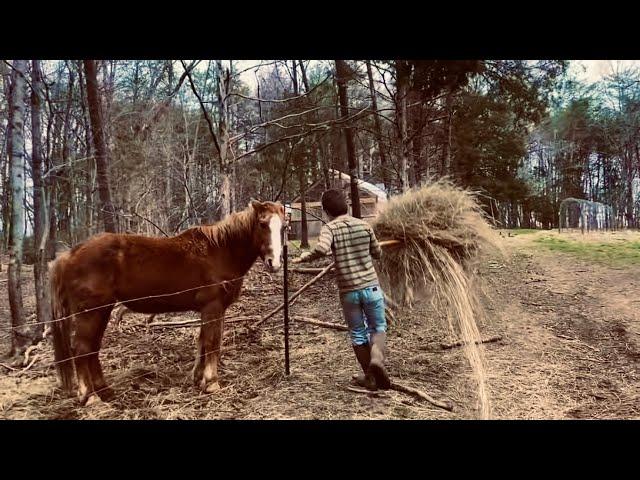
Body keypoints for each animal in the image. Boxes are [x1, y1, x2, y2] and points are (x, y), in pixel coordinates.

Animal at [47, 200, 282, 404]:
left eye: (285, 226)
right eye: (262, 224)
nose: (275, 263)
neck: (220, 250)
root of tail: (69, 255)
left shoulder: (213, 310)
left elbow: (202, 343)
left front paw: (198, 378)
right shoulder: (213, 307)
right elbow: (211, 343)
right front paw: (211, 383)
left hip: (102, 311)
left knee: (92, 349)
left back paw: (105, 391)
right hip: (91, 313)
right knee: (81, 349)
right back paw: (89, 396)